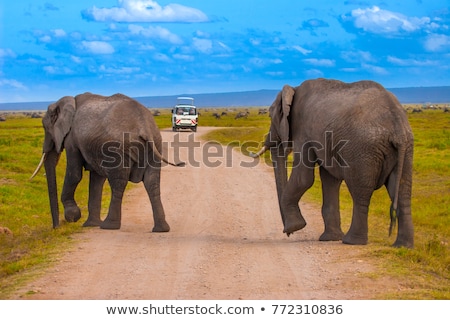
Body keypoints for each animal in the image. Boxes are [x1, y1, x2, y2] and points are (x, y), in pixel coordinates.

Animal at [31, 92, 185, 230]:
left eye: (45, 127)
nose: (56, 227)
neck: (69, 101)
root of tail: (144, 127)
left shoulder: (72, 140)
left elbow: (74, 174)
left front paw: (73, 216)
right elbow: (96, 179)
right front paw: (90, 224)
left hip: (117, 149)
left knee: (118, 183)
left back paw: (109, 226)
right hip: (155, 144)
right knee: (152, 182)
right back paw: (161, 228)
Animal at [251, 79, 414, 249]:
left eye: (270, 115)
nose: (287, 233)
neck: (294, 89)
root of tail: (397, 124)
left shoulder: (303, 131)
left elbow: (304, 179)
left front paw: (296, 227)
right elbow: (330, 180)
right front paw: (330, 238)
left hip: (362, 150)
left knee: (360, 191)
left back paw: (352, 241)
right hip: (405, 148)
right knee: (402, 190)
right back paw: (403, 245)